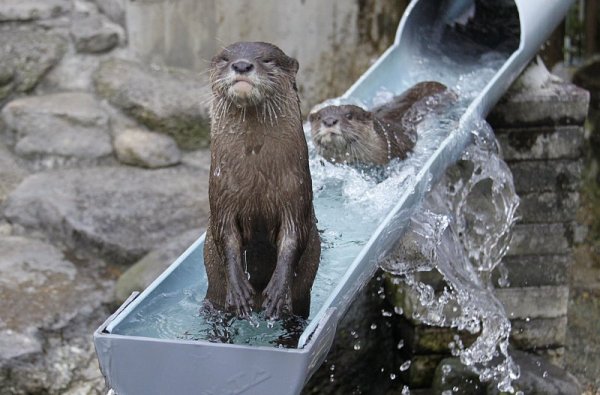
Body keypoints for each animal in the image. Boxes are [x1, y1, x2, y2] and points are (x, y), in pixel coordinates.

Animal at [203, 41, 324, 320]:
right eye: (225, 58)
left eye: (268, 60)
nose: (241, 65)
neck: (256, 180)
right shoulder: (221, 196)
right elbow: (225, 235)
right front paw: (238, 290)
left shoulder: (297, 195)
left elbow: (293, 237)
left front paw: (278, 290)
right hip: (213, 298)